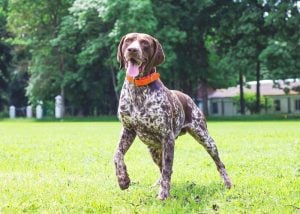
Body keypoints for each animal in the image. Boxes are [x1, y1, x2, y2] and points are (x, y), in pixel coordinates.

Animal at [113, 32, 232, 200]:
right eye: (129, 40)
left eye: (144, 43)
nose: (132, 50)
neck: (138, 90)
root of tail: (187, 97)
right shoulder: (128, 130)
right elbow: (117, 155)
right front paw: (123, 179)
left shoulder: (167, 137)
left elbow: (167, 169)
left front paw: (163, 195)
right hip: (154, 150)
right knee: (161, 168)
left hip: (205, 139)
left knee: (219, 164)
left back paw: (228, 183)